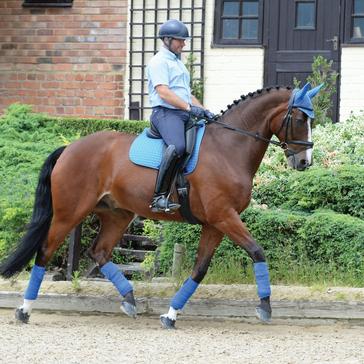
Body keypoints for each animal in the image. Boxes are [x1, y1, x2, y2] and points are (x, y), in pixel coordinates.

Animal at [0, 84, 322, 328]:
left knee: (99, 252)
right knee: (45, 251)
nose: (304, 162)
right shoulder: (224, 217)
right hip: (70, 212)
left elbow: (199, 270)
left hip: (118, 214)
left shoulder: (215, 223)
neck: (229, 147)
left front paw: (171, 314)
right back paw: (25, 310)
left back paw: (129, 300)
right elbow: (257, 251)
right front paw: (265, 307)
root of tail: (70, 147)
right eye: (298, 119)